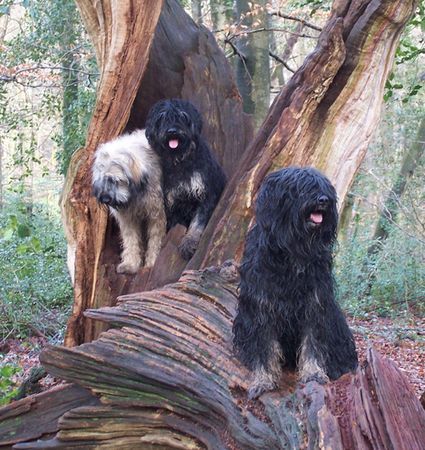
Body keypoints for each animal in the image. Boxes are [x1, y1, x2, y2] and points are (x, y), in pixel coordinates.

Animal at [145, 99, 227, 260]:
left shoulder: (205, 195)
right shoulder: (172, 204)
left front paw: (189, 243)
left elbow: (197, 223)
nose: (172, 131)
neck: (180, 162)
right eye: (162, 118)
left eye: (182, 116)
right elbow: (177, 224)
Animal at [234, 167, 356, 400]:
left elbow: (313, 343)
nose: (323, 200)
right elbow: (265, 346)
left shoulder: (315, 304)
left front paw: (314, 373)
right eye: (302, 188)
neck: (293, 250)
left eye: (324, 187)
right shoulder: (261, 307)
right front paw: (263, 380)